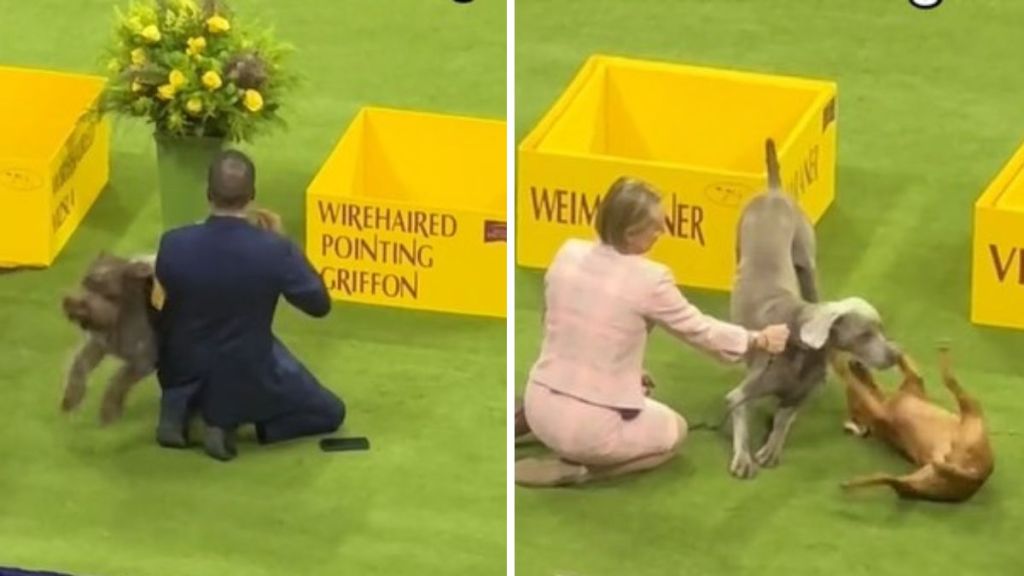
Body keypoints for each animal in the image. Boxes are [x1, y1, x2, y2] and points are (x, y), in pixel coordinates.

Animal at [60, 206, 284, 422]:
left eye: (108, 291)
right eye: (85, 283)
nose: (72, 304)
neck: (120, 321)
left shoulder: (145, 359)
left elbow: (119, 378)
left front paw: (109, 412)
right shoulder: (97, 344)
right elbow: (79, 366)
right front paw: (70, 400)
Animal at [724, 138, 901, 475]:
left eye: (882, 329)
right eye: (864, 334)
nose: (897, 355)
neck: (798, 346)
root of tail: (774, 190)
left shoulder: (806, 391)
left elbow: (784, 416)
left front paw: (772, 447)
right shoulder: (742, 393)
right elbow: (739, 411)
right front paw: (743, 458)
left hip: (806, 262)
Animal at [831, 342, 991, 500]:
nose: (853, 362)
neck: (885, 399)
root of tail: (977, 478)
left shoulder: (913, 380)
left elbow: (905, 361)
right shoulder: (878, 409)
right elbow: (850, 381)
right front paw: (838, 363)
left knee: (889, 480)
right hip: (971, 411)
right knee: (951, 380)